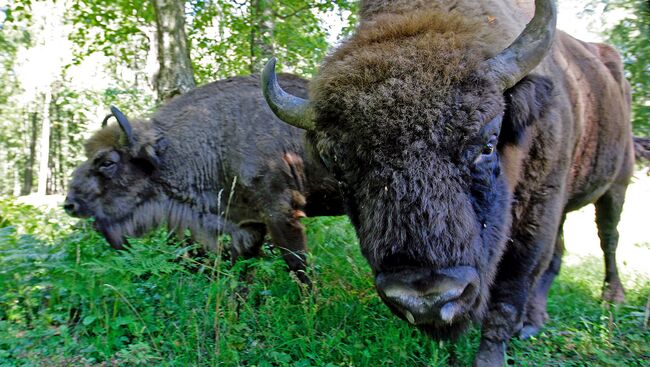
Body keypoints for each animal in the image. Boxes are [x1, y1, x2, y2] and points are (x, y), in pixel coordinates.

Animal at [63, 72, 342, 284]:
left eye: (107, 162)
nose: (70, 204)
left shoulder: (282, 214)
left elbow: (298, 265)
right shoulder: (247, 224)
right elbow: (241, 273)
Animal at [264, 0, 636, 366]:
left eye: (488, 144)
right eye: (339, 165)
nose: (426, 299)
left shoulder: (538, 212)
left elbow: (509, 292)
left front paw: (490, 356)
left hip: (617, 186)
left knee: (608, 237)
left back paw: (610, 298)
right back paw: (534, 320)